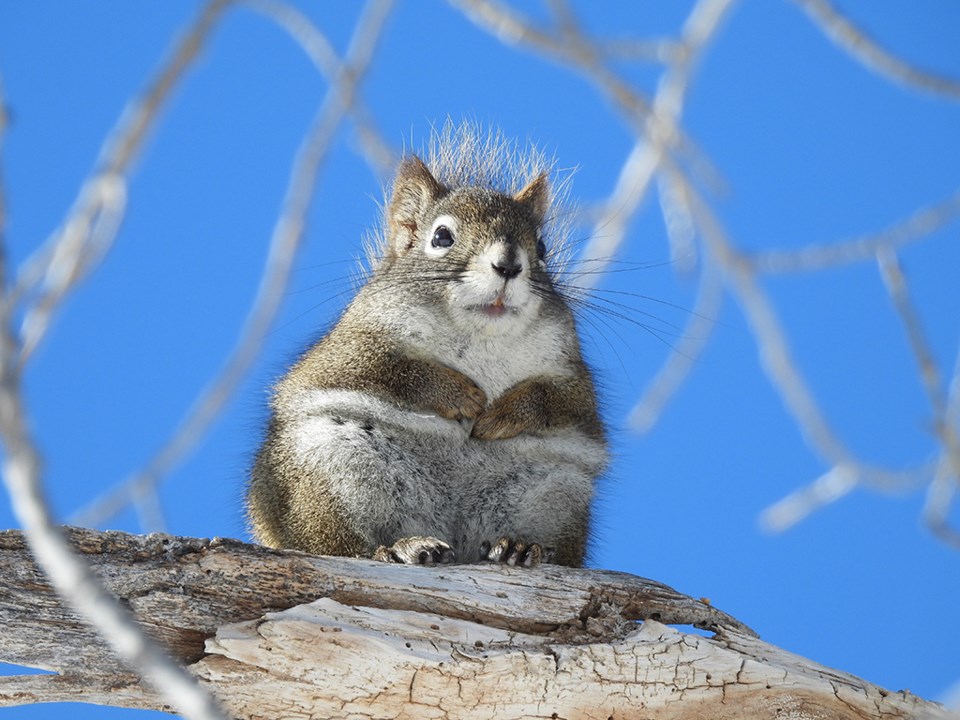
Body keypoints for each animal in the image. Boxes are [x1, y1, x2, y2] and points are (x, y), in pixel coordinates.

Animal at [248, 126, 608, 572]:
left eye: (542, 247)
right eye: (441, 237)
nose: (509, 266)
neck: (480, 336)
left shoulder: (571, 370)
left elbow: (564, 400)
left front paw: (502, 414)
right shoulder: (350, 349)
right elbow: (392, 371)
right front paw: (462, 396)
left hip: (557, 492)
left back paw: (521, 546)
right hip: (323, 471)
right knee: (337, 544)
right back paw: (400, 548)